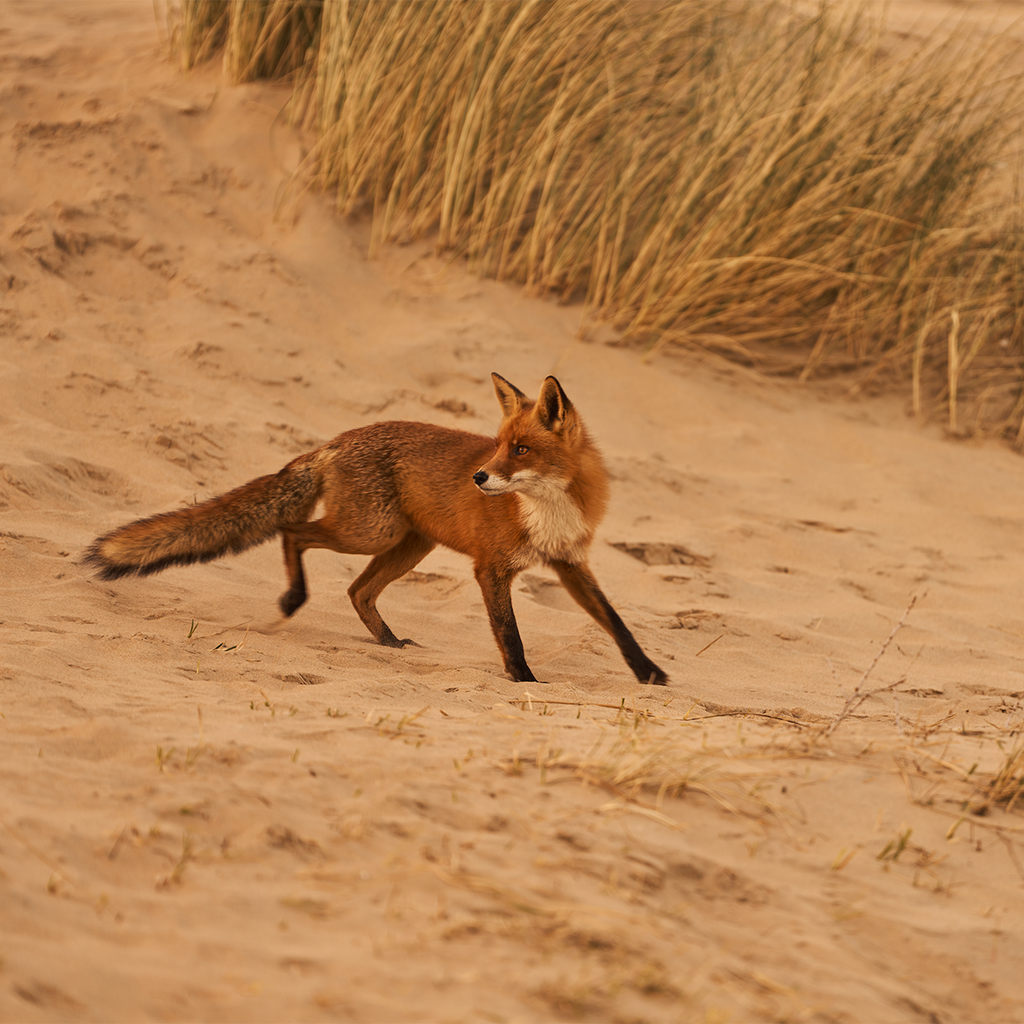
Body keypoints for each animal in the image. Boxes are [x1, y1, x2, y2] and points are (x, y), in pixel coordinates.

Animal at [86, 373, 667, 685]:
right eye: (499, 444)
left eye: (521, 449)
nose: (479, 477)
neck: (545, 507)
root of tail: (336, 439)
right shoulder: (491, 568)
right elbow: (510, 634)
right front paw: (523, 681)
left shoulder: (570, 562)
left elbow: (616, 623)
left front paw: (649, 673)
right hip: (373, 532)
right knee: (295, 532)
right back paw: (293, 599)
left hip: (407, 544)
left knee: (357, 590)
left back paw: (387, 642)